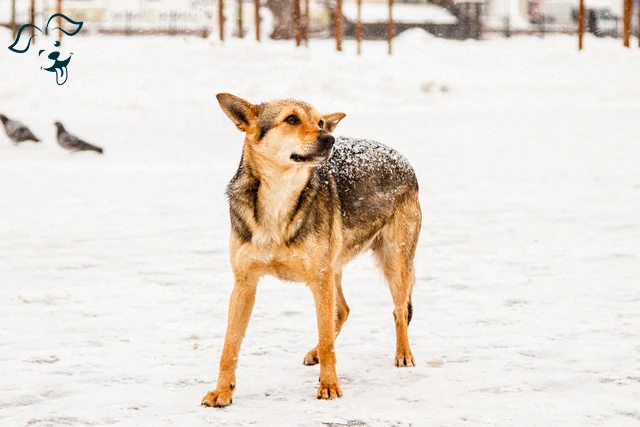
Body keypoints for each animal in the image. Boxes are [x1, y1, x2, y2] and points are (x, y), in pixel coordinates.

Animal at [202, 93, 422, 408]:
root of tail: (401, 157)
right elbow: (229, 345)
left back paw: (403, 354)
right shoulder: (244, 284)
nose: (329, 138)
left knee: (399, 310)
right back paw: (316, 351)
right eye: (292, 119)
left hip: (394, 264)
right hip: (335, 269)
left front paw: (329, 386)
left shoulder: (319, 279)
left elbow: (329, 340)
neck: (279, 200)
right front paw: (222, 391)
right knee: (343, 310)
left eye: (319, 122)